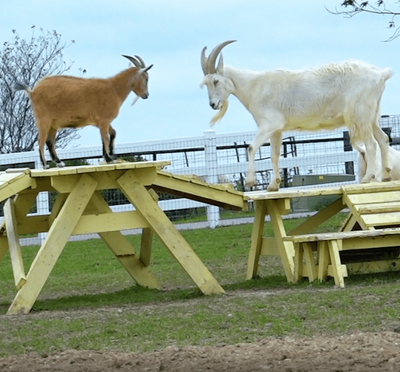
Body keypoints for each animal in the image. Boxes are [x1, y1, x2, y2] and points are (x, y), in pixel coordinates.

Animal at [14, 54, 152, 169]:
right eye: (146, 78)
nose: (146, 95)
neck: (114, 89)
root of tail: (32, 91)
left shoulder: (102, 122)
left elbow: (112, 134)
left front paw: (111, 155)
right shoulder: (103, 120)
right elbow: (105, 138)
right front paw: (108, 158)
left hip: (54, 123)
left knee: (49, 141)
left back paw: (59, 162)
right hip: (43, 119)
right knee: (41, 141)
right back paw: (45, 164)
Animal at [202, 41, 392, 192]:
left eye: (216, 81)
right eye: (207, 83)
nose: (213, 104)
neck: (254, 87)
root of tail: (380, 74)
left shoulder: (268, 125)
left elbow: (251, 147)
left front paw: (250, 182)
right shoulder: (276, 130)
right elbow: (275, 155)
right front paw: (273, 185)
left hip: (361, 115)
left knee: (371, 144)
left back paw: (368, 178)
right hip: (372, 116)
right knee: (383, 138)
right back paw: (386, 175)